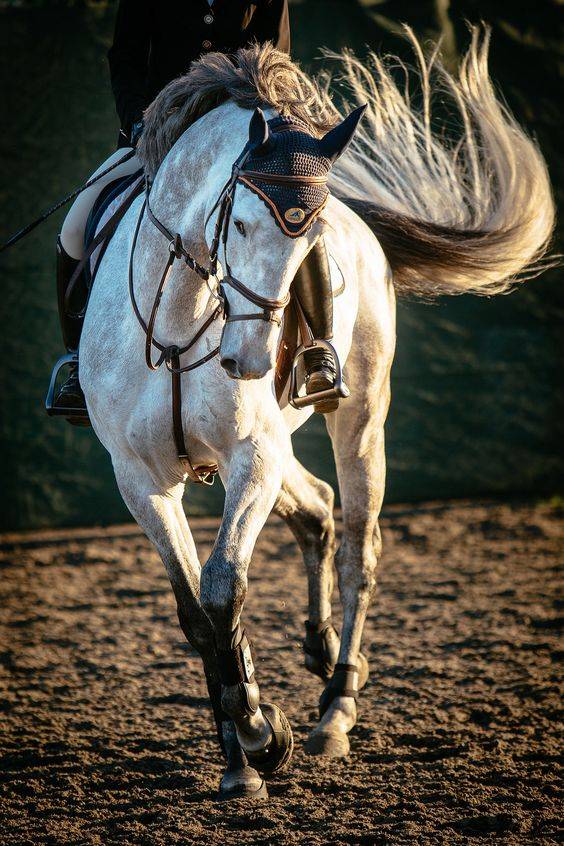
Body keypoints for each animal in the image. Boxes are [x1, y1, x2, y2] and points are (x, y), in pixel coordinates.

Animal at [79, 34, 556, 800]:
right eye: (240, 222)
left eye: (308, 244)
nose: (247, 359)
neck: (181, 322)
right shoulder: (140, 478)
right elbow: (196, 613)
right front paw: (239, 759)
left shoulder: (252, 454)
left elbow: (223, 589)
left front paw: (259, 733)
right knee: (318, 508)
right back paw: (316, 652)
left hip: (358, 417)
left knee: (360, 542)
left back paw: (336, 708)